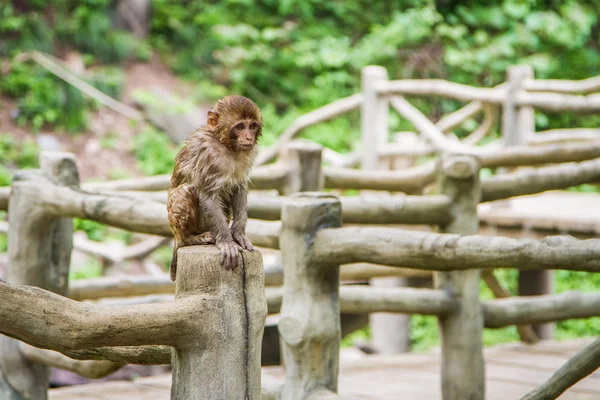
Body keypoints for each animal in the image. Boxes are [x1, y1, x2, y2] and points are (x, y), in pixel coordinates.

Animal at [169, 95, 262, 280]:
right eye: (240, 126)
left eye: (252, 126)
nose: (249, 138)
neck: (226, 145)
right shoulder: (208, 155)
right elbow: (207, 195)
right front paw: (227, 242)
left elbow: (239, 188)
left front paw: (239, 234)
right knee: (185, 191)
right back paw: (191, 239)